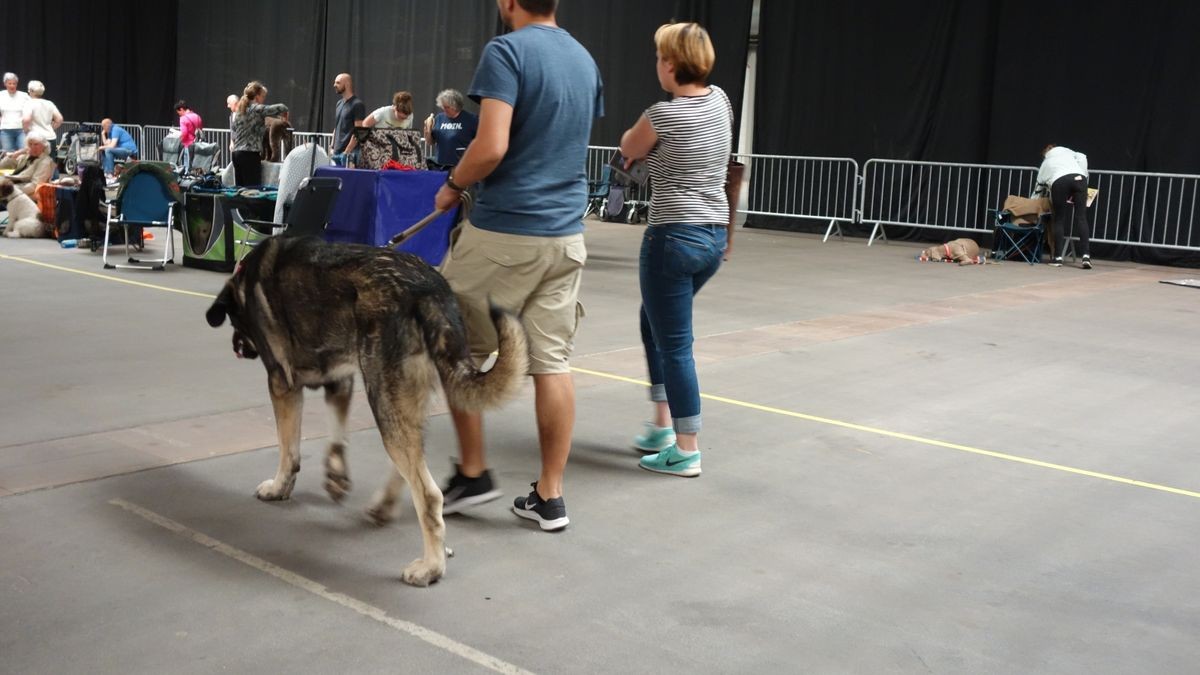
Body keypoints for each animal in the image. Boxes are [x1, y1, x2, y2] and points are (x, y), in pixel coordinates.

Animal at [207, 236, 530, 583]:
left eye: (235, 321)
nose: (237, 347)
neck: (245, 280)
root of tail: (428, 288)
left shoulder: (282, 383)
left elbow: (288, 449)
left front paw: (280, 487)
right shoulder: (340, 380)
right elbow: (337, 436)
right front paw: (336, 475)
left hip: (384, 397)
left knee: (428, 494)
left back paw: (430, 566)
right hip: (402, 400)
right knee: (409, 466)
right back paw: (387, 509)